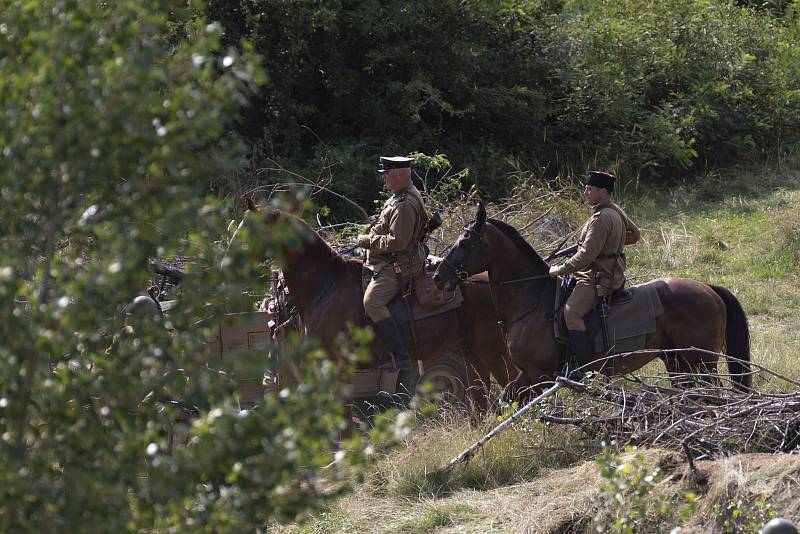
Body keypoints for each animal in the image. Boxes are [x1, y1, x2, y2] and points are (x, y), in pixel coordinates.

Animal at [432, 203, 752, 400]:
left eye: (465, 242)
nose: (437, 276)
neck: (532, 302)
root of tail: (708, 289)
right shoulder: (527, 375)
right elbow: (507, 400)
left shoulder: (541, 375)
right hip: (678, 362)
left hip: (702, 364)